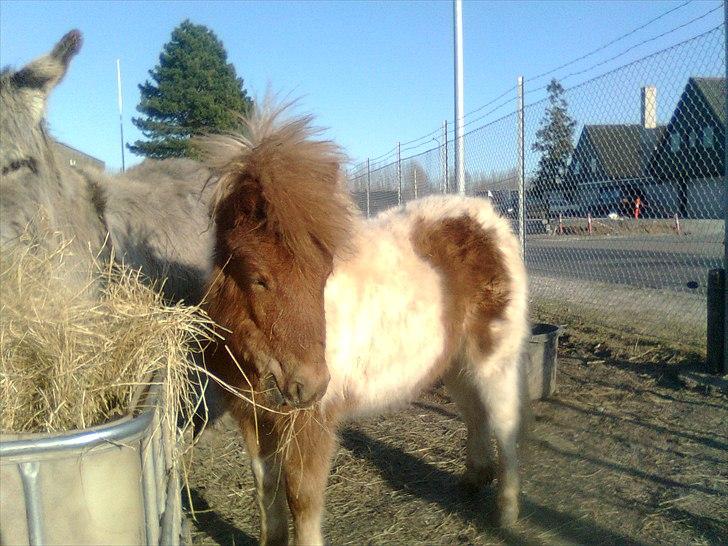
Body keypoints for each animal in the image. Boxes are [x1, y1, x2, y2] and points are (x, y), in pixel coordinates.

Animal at [202, 111, 528, 544]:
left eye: (324, 272)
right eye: (258, 278)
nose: (308, 384)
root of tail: (489, 219)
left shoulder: (311, 421)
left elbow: (301, 497)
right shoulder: (253, 415)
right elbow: (264, 485)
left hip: (494, 359)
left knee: (505, 423)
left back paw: (506, 514)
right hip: (456, 363)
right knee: (475, 413)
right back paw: (474, 480)